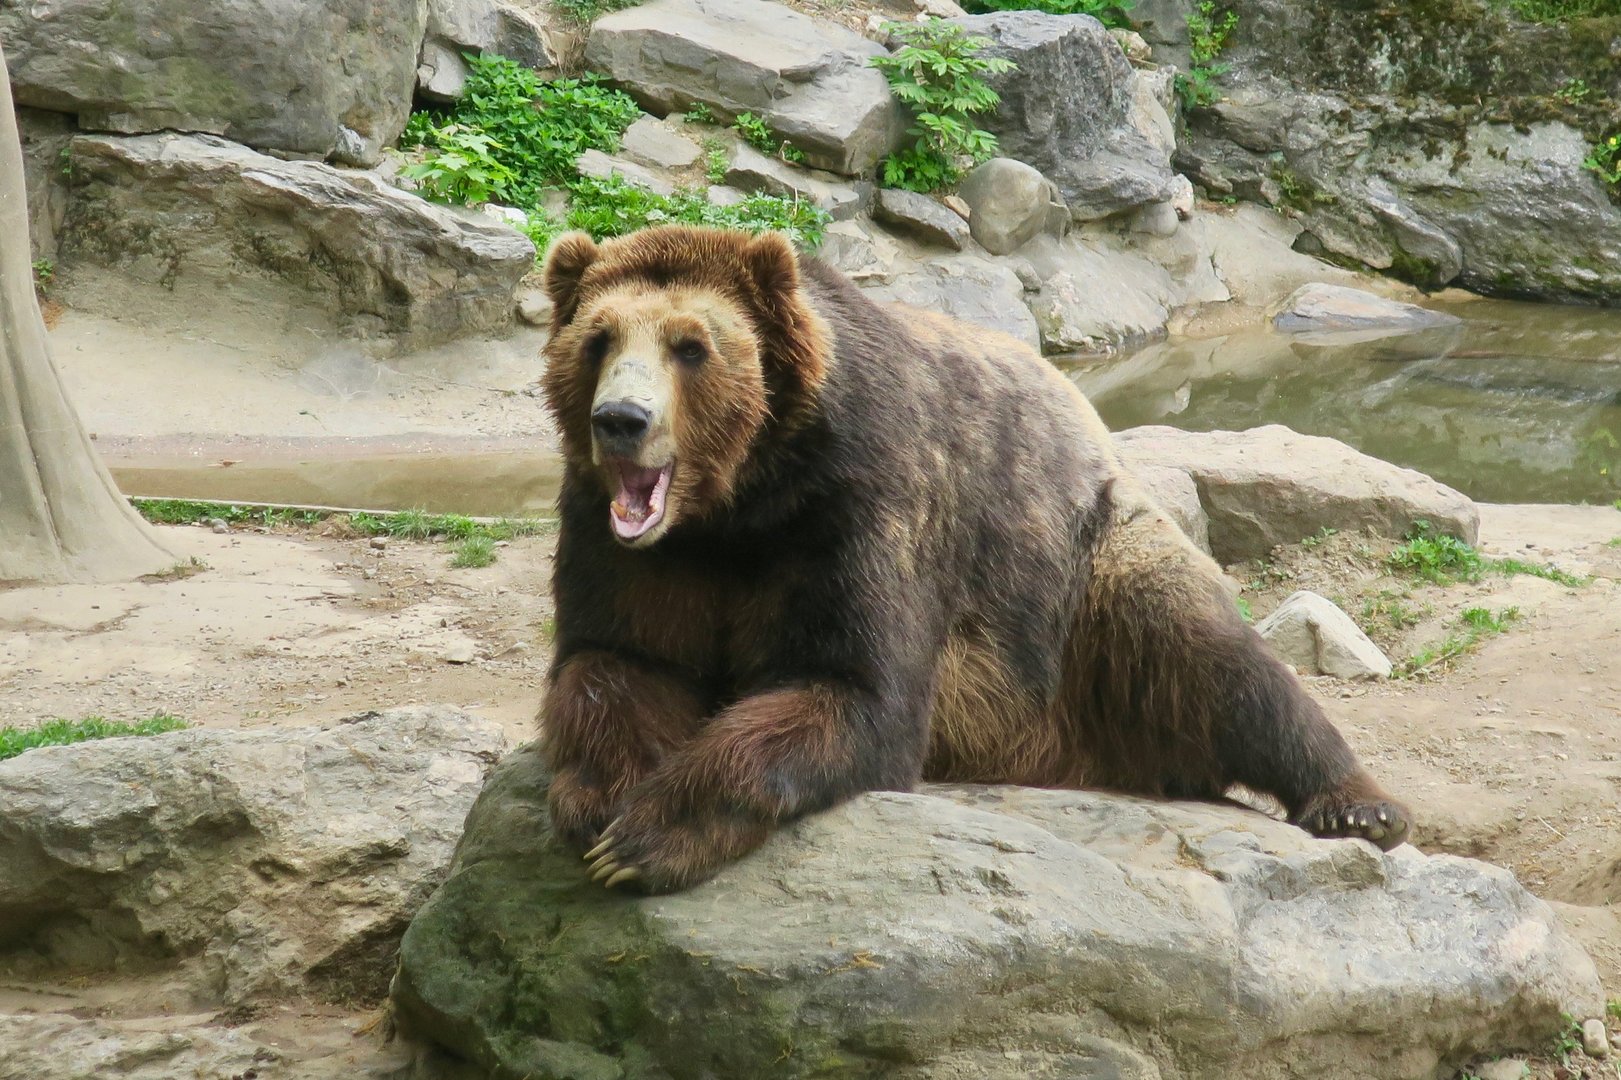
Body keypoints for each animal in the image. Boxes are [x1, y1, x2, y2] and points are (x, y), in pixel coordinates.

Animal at [535, 224, 1411, 894]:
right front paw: (603, 804)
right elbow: (614, 658)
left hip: (1080, 581)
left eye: (691, 346)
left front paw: (646, 838)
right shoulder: (633, 544)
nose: (621, 419)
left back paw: (1359, 805)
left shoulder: (860, 505)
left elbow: (854, 688)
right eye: (598, 339)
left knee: (1202, 649)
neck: (739, 502)